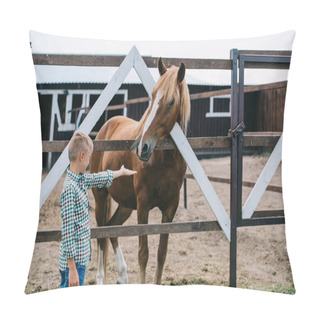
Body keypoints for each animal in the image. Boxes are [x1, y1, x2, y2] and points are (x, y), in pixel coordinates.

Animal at [90, 57, 190, 284]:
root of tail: (106, 126)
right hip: (101, 196)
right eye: (152, 96)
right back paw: (100, 278)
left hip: (126, 204)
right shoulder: (143, 205)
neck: (165, 160)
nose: (142, 147)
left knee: (112, 229)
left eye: (171, 102)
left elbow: (161, 254)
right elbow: (143, 254)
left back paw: (122, 275)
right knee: (101, 234)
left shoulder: (170, 208)